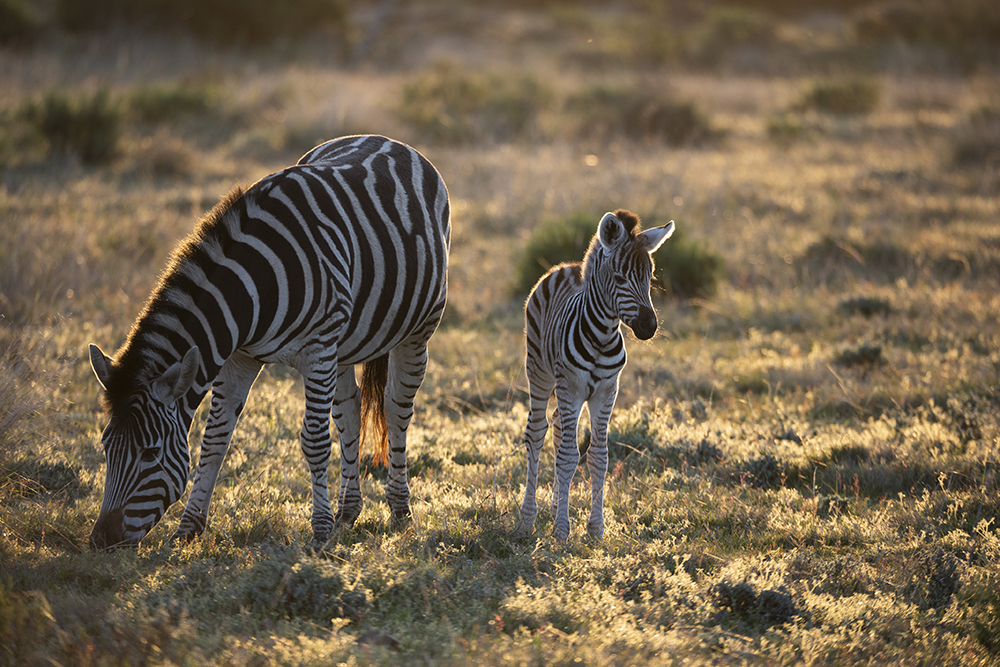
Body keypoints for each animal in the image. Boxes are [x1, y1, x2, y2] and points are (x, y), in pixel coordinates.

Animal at [88, 135, 451, 549]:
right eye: (106, 446)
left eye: (150, 454)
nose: (100, 542)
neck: (250, 294)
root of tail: (386, 139)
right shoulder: (240, 357)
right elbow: (214, 440)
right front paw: (188, 529)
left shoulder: (317, 351)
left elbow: (314, 441)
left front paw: (320, 531)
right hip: (345, 344)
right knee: (350, 411)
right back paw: (348, 511)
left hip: (418, 329)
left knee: (396, 408)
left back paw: (400, 511)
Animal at [519, 209, 673, 541]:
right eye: (619, 278)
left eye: (650, 277)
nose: (649, 327)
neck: (602, 337)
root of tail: (566, 267)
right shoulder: (572, 387)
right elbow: (567, 457)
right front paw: (562, 531)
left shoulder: (606, 391)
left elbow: (598, 457)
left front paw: (595, 528)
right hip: (539, 372)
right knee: (536, 434)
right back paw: (527, 518)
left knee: (558, 427)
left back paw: (554, 506)